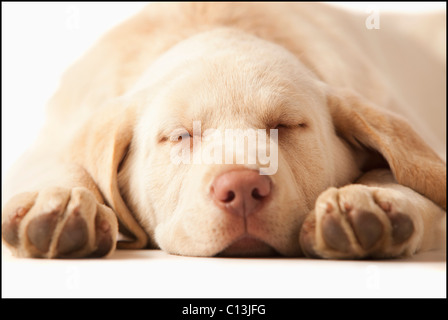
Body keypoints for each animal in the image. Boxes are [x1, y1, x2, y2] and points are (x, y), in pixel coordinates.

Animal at [2, 2, 444, 258]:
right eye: (180, 136)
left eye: (285, 126)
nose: (244, 190)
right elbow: (63, 162)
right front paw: (60, 198)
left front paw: (375, 196)